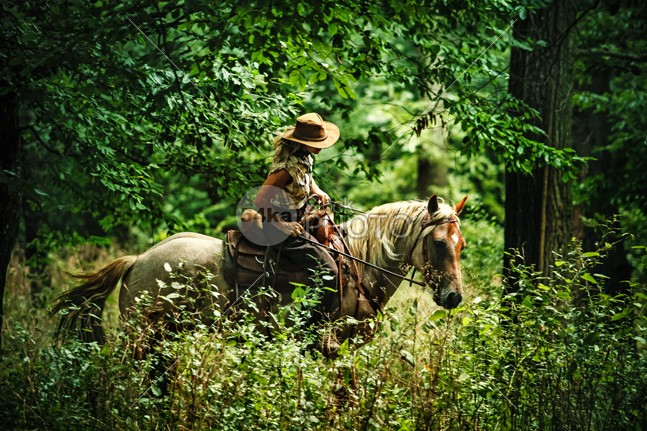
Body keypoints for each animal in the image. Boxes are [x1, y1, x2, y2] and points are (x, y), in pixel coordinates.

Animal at [50, 196, 466, 358]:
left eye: (461, 244)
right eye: (439, 243)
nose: (454, 297)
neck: (359, 263)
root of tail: (138, 260)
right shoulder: (332, 348)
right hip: (143, 338)